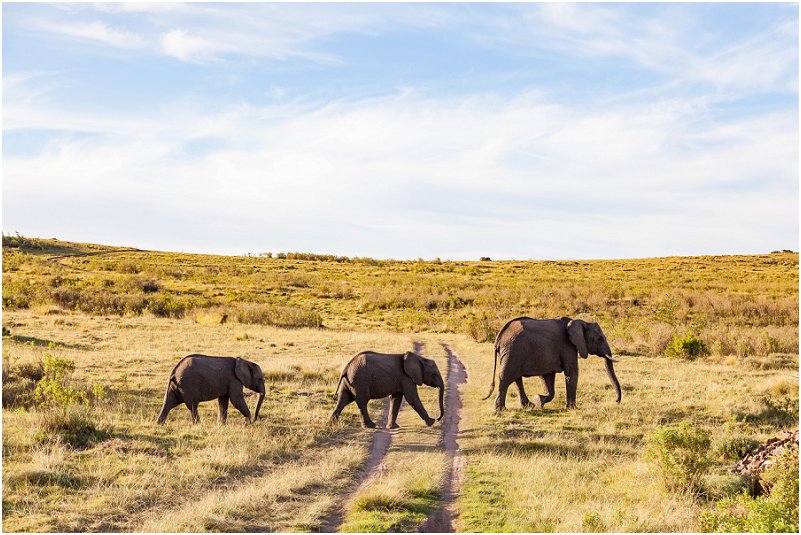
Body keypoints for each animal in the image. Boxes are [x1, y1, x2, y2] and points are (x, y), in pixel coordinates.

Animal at [482, 316, 620, 412]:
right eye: (600, 339)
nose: (616, 401)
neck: (581, 322)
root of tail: (499, 337)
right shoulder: (568, 346)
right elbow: (572, 372)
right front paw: (572, 409)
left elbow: (548, 377)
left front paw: (539, 400)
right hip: (513, 351)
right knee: (506, 378)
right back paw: (500, 410)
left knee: (516, 379)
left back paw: (529, 406)